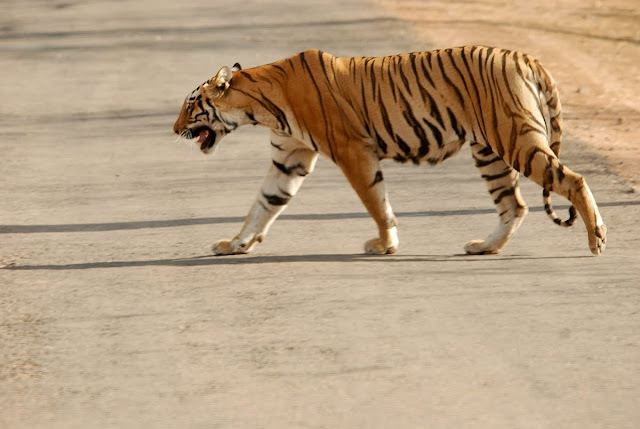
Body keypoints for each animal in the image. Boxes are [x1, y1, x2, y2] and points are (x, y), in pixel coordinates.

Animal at [173, 46, 607, 256]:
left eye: (191, 104)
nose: (174, 130)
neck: (261, 106)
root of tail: (524, 56)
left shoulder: (352, 151)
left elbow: (376, 201)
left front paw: (384, 244)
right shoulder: (288, 158)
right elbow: (263, 204)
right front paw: (235, 244)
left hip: (516, 140)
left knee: (572, 180)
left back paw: (596, 240)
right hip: (490, 152)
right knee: (514, 206)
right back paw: (484, 248)